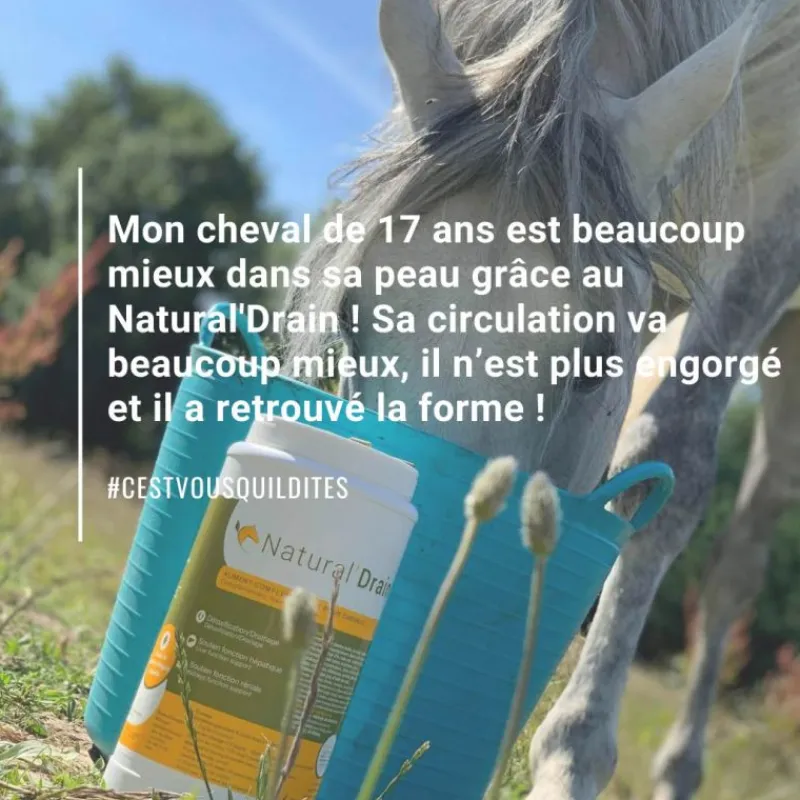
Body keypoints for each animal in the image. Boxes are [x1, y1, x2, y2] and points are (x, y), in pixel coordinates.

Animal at [279, 1, 800, 798]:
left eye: (595, 361)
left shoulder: (770, 214)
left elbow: (666, 465)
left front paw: (569, 761)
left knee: (736, 567)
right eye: (348, 315)